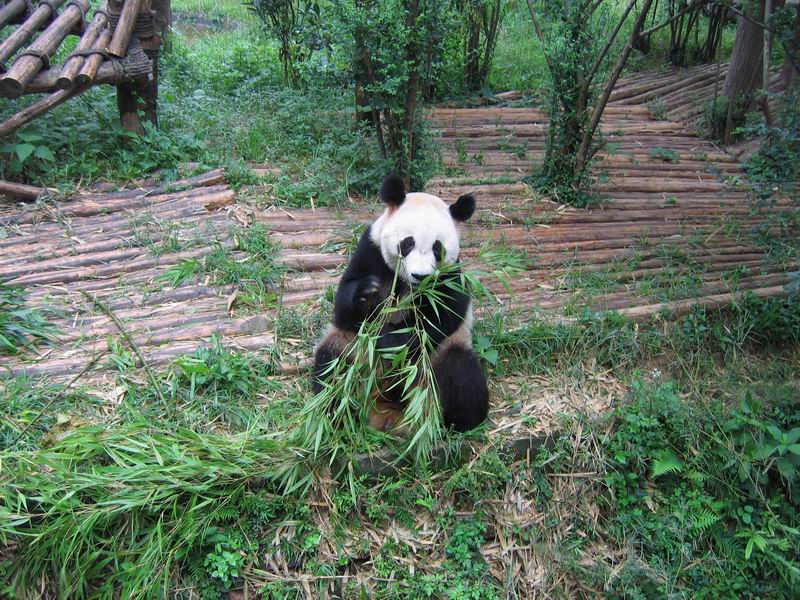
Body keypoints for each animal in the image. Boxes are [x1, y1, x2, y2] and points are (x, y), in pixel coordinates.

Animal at [312, 173, 489, 433]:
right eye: (408, 243)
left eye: (437, 247)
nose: (420, 276)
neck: (408, 284)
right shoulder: (371, 250)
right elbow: (344, 308)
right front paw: (366, 292)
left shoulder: (450, 275)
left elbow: (442, 316)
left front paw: (390, 340)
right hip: (353, 351)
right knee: (332, 368)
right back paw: (335, 412)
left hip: (438, 357)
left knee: (462, 378)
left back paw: (459, 421)